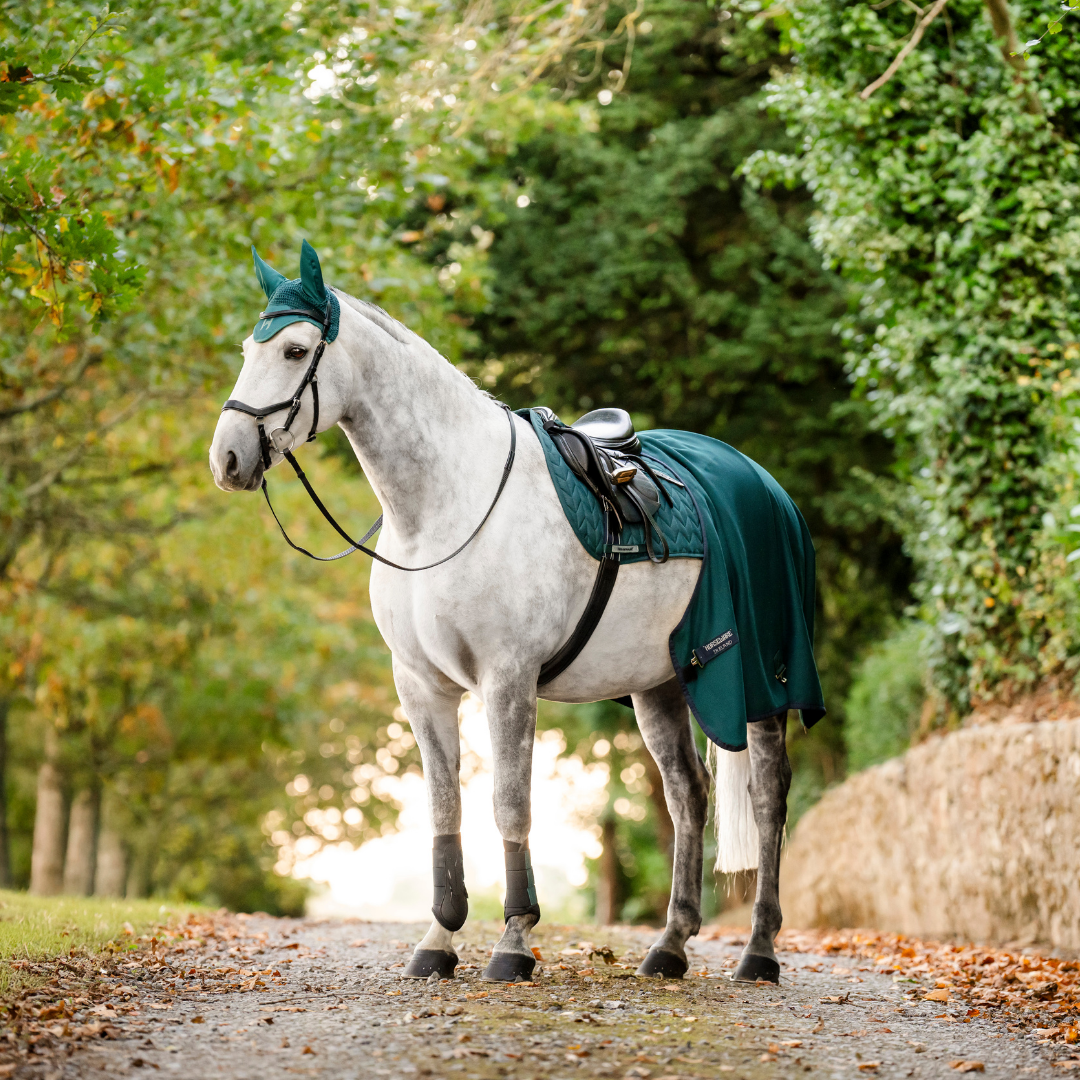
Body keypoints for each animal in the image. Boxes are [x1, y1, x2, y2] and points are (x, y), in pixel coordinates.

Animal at [209, 243, 796, 985]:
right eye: (247, 348)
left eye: (293, 349)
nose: (228, 457)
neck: (443, 507)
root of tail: (762, 481)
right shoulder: (421, 686)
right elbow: (445, 806)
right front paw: (438, 939)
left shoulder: (507, 679)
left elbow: (510, 804)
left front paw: (513, 943)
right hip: (658, 682)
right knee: (687, 793)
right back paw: (670, 946)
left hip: (764, 681)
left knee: (769, 795)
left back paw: (759, 951)